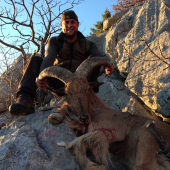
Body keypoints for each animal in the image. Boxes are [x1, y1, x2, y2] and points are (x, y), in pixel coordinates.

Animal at [38, 57, 170, 170]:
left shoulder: (114, 132)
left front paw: (95, 166)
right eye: (67, 93)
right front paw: (55, 116)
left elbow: (78, 143)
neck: (98, 111)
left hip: (146, 135)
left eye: (87, 88)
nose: (83, 118)